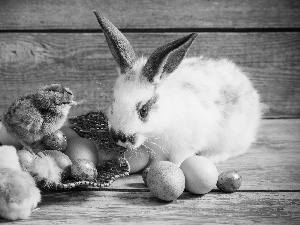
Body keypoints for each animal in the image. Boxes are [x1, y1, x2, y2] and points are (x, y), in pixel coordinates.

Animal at [92, 10, 262, 165]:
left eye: (144, 110)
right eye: (113, 102)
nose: (119, 137)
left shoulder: (185, 146)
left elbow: (178, 161)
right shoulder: (158, 152)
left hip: (233, 136)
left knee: (238, 148)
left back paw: (211, 157)